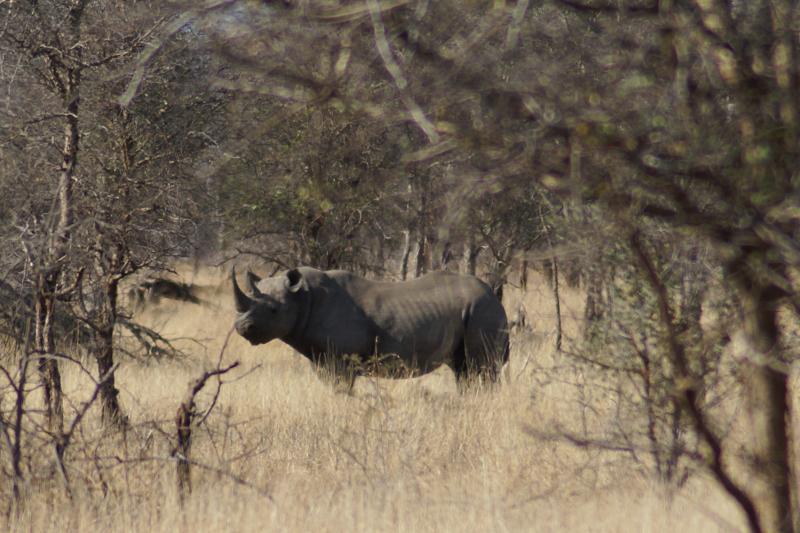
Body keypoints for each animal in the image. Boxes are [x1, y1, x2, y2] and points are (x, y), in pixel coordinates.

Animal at [232, 266, 509, 386]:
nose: (242, 328)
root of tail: (493, 293)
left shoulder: (340, 360)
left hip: (482, 309)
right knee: (464, 370)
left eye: (273, 311)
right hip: (474, 311)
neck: (303, 297)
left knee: (483, 368)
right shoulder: (321, 358)